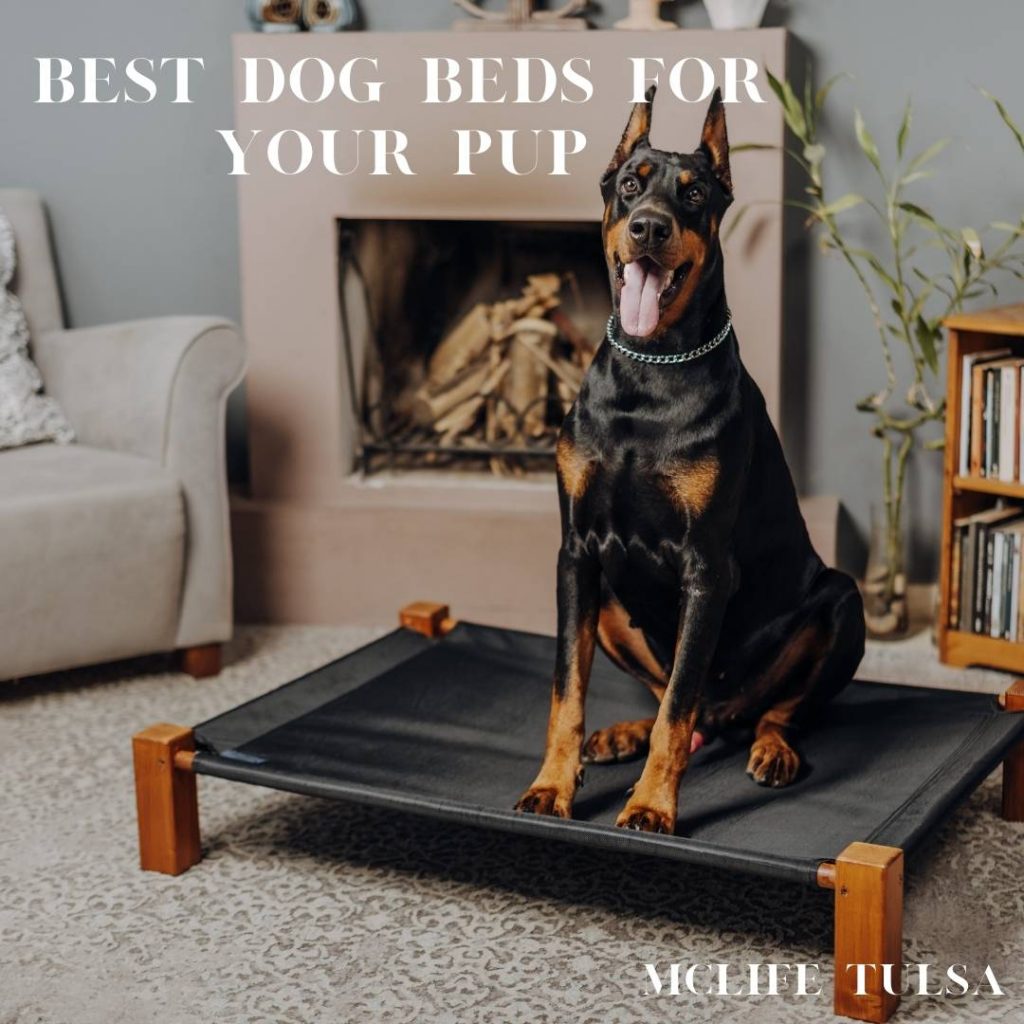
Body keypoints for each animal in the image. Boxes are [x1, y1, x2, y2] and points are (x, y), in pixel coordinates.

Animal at [512, 86, 864, 831]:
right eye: (629, 184)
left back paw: (771, 748)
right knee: (676, 699)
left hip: (840, 604)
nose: (648, 228)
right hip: (610, 601)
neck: (650, 373)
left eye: (695, 192)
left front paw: (651, 805)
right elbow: (567, 690)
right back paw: (622, 734)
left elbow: (678, 706)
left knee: (765, 709)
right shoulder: (575, 555)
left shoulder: (707, 567)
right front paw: (552, 785)